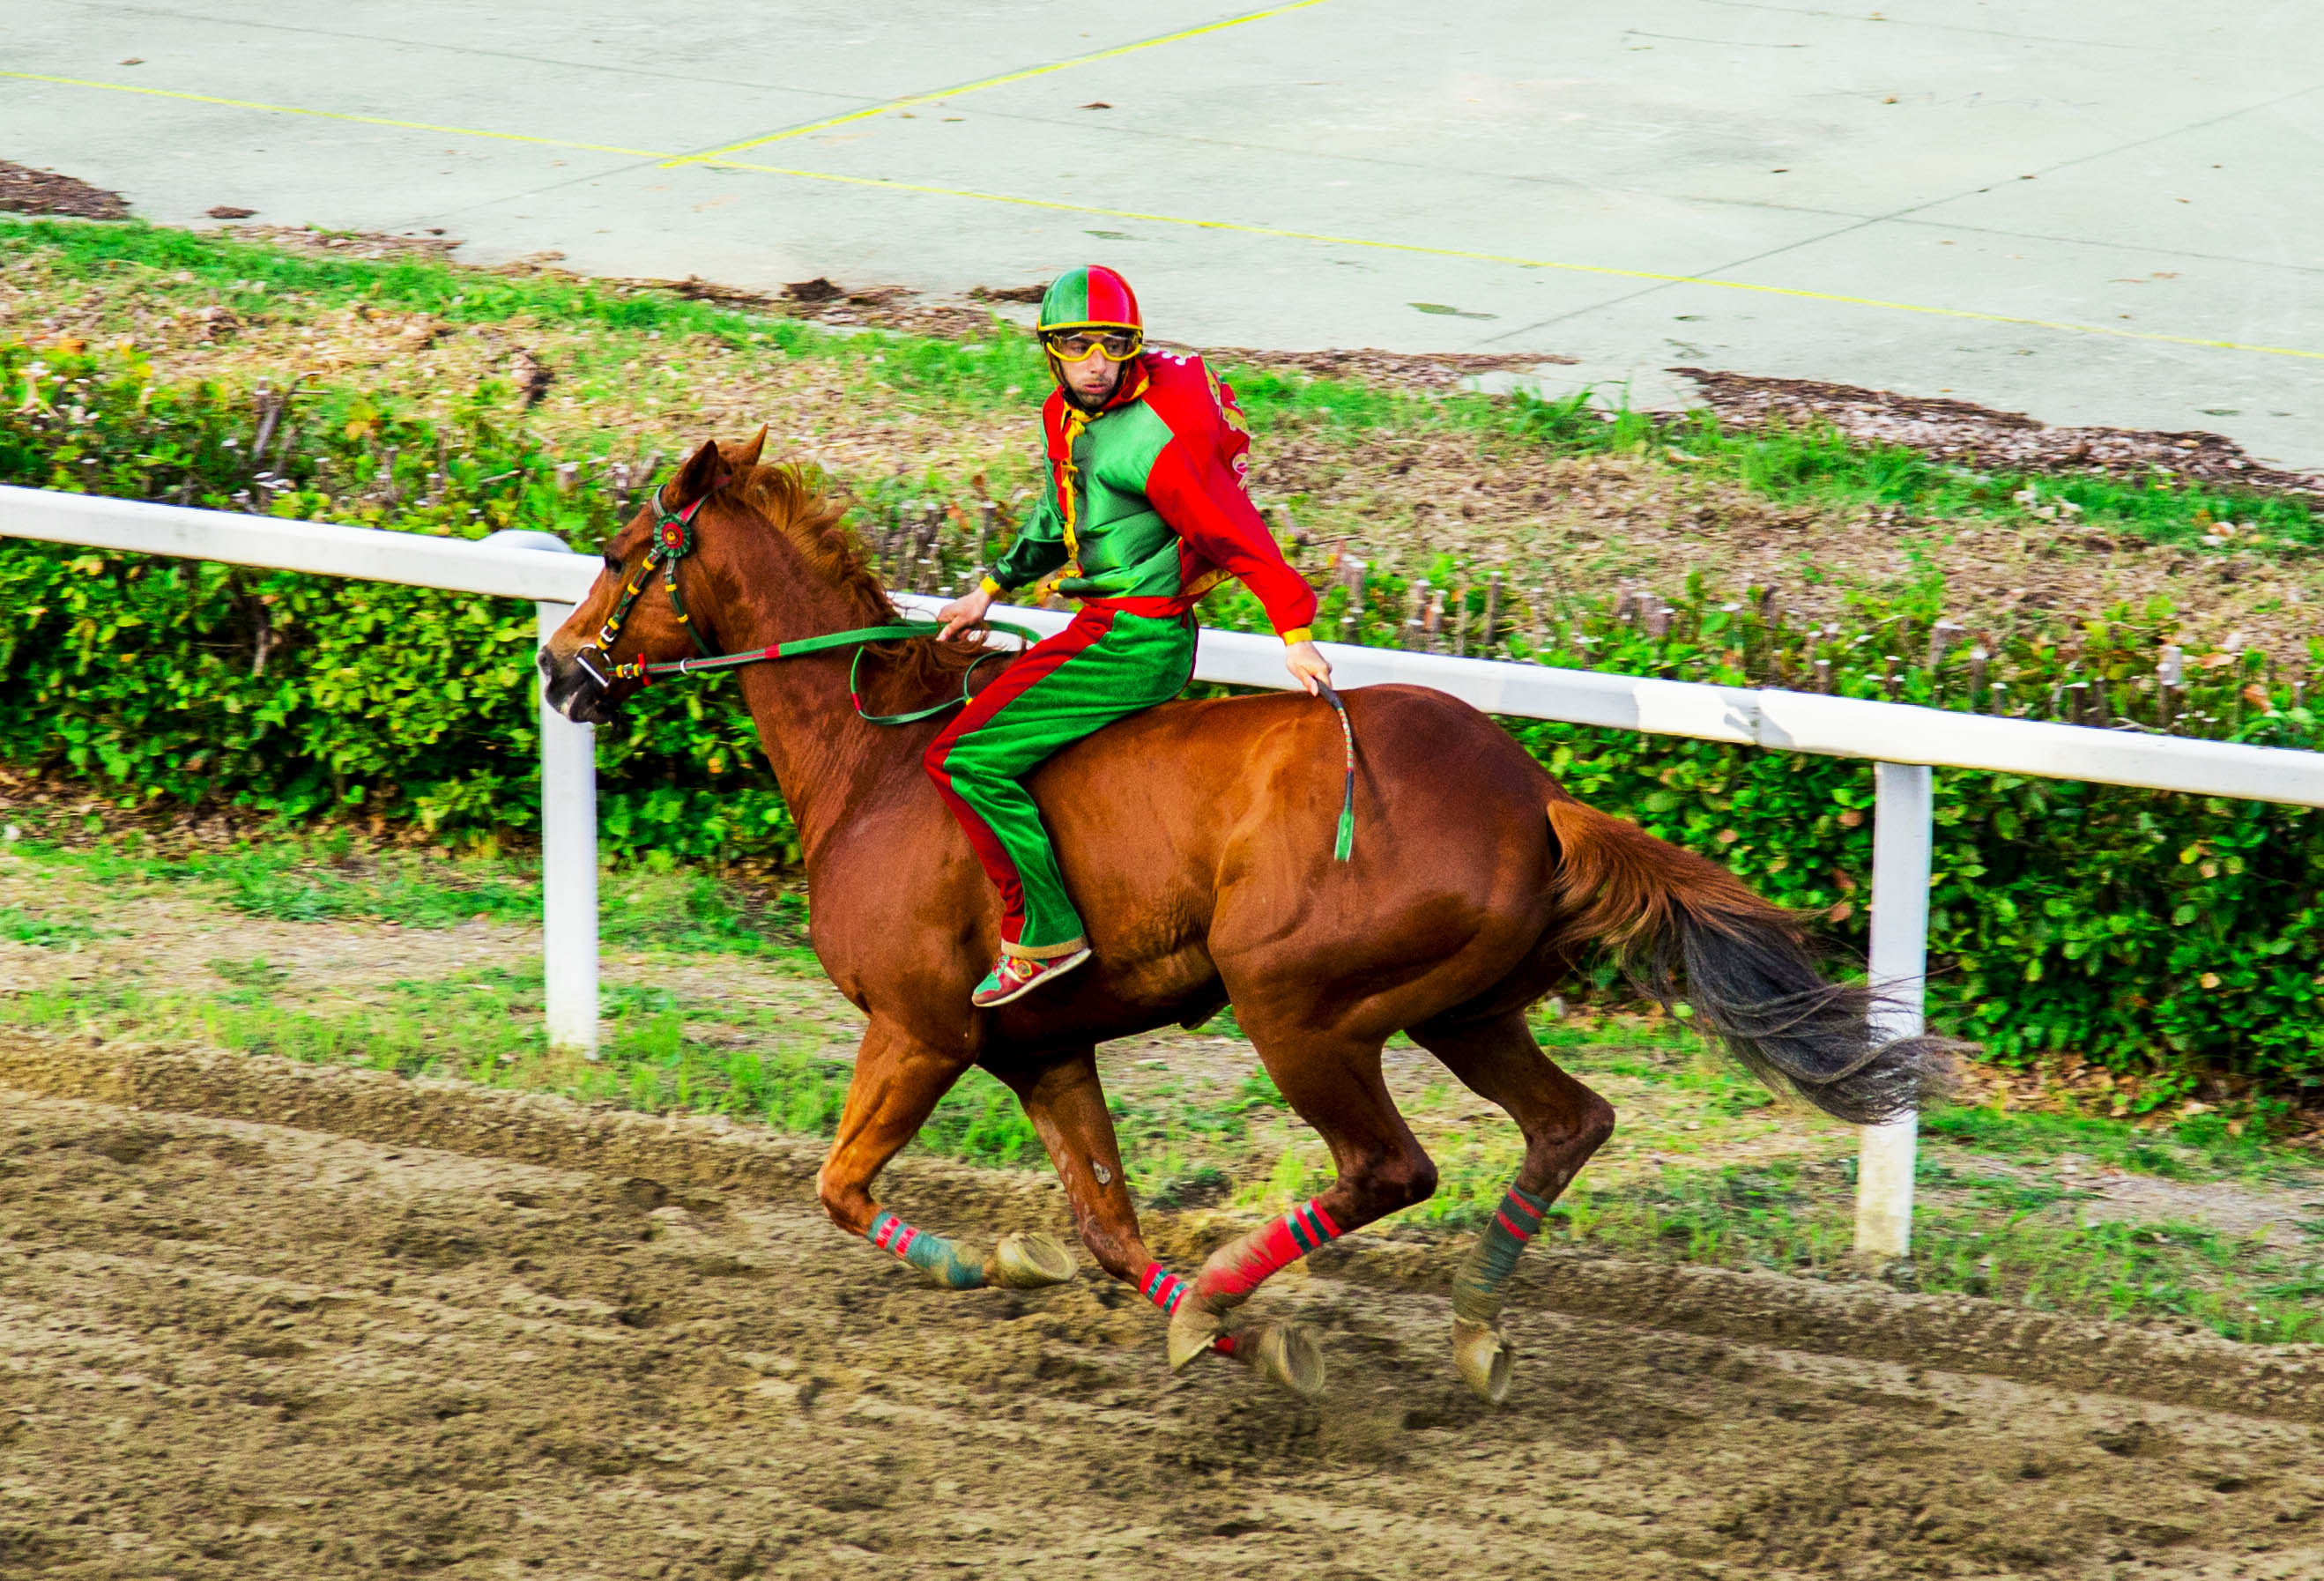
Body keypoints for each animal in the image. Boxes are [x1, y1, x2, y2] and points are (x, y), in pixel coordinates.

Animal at [534, 430, 1952, 1394]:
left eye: (619, 556)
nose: (557, 667)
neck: (877, 761)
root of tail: (1535, 794)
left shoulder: (922, 1027)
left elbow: (838, 1185)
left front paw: (1002, 1267)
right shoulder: (1046, 1049)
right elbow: (1104, 1228)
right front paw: (1204, 1320)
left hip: (1297, 1001)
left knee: (1393, 1166)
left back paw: (1249, 1285)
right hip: (1464, 1008)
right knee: (1569, 1124)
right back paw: (1468, 1327)